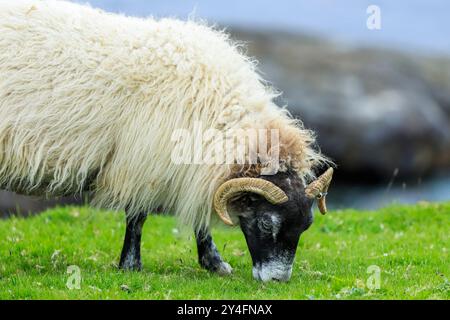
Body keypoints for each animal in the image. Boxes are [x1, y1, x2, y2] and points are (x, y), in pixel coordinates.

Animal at [0, 0, 330, 280]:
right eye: (265, 223)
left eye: (306, 225)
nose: (277, 280)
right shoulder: (144, 161)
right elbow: (138, 216)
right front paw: (131, 264)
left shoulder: (191, 167)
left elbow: (198, 212)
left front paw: (213, 263)